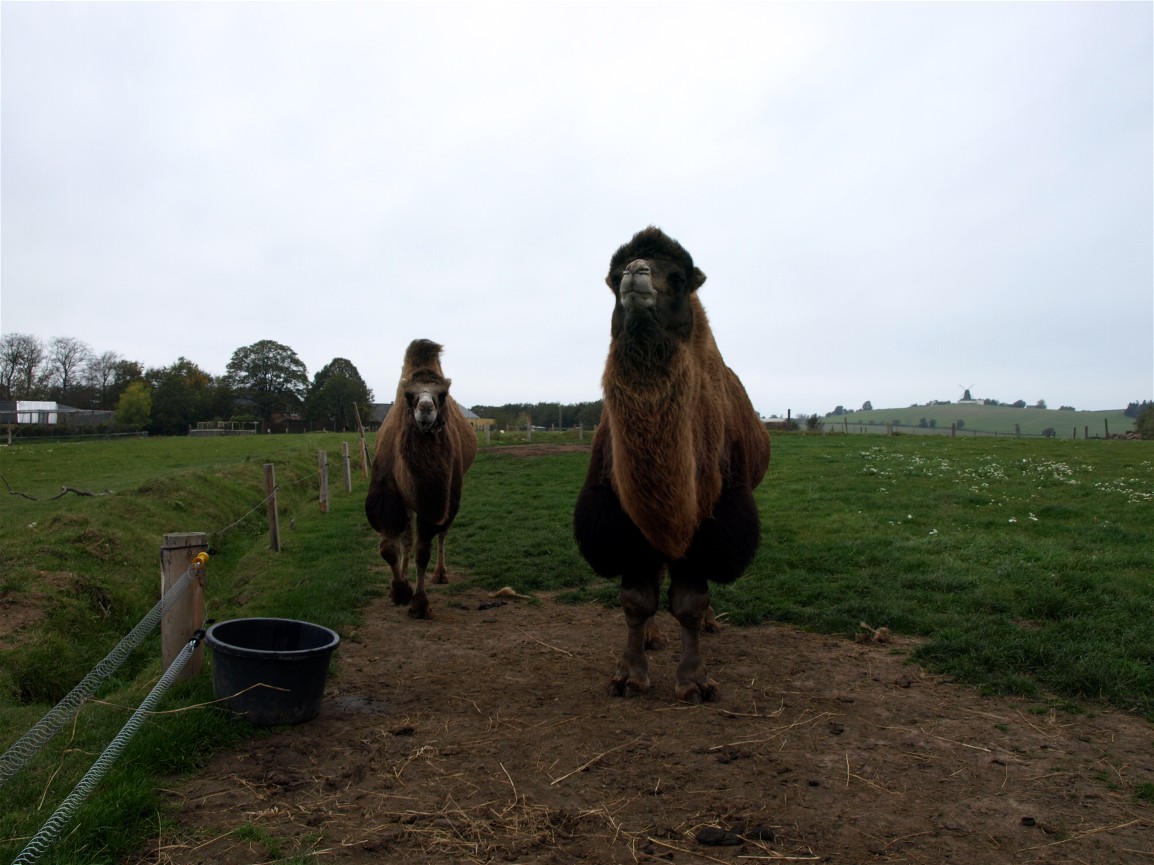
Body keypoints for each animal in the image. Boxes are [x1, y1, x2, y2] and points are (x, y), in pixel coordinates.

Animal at [365, 339, 477, 619]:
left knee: (441, 534)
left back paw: (440, 574)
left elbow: (423, 550)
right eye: (409, 395)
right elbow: (388, 547)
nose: (425, 408)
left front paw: (419, 602)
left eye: (442, 394)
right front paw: (399, 590)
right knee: (405, 537)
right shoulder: (387, 493)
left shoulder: (440, 497)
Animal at [574, 227, 771, 703]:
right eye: (613, 278)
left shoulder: (717, 520)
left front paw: (695, 681)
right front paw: (629, 674)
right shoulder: (621, 522)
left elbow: (690, 603)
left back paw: (712, 624)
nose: (635, 272)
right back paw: (650, 637)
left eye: (678, 278)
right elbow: (636, 600)